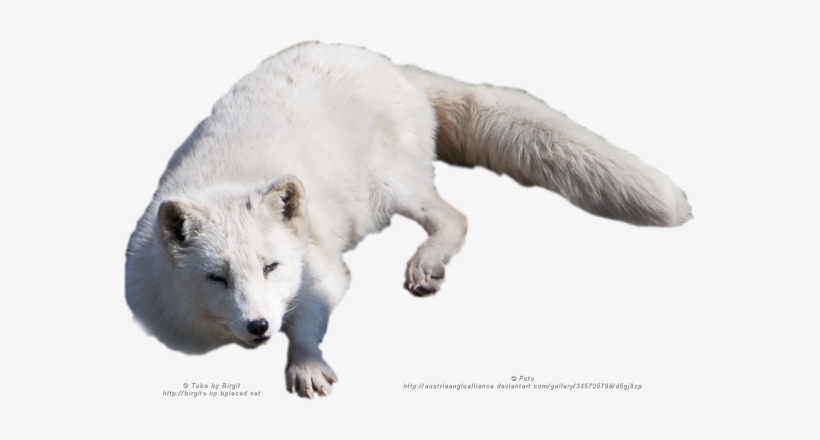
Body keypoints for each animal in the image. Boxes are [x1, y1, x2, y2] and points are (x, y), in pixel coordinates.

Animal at [125, 41, 692, 399]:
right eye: (216, 278)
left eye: (271, 267)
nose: (260, 325)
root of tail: (390, 64)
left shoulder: (325, 269)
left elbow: (310, 316)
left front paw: (305, 366)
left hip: (388, 185)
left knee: (455, 216)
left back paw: (425, 264)